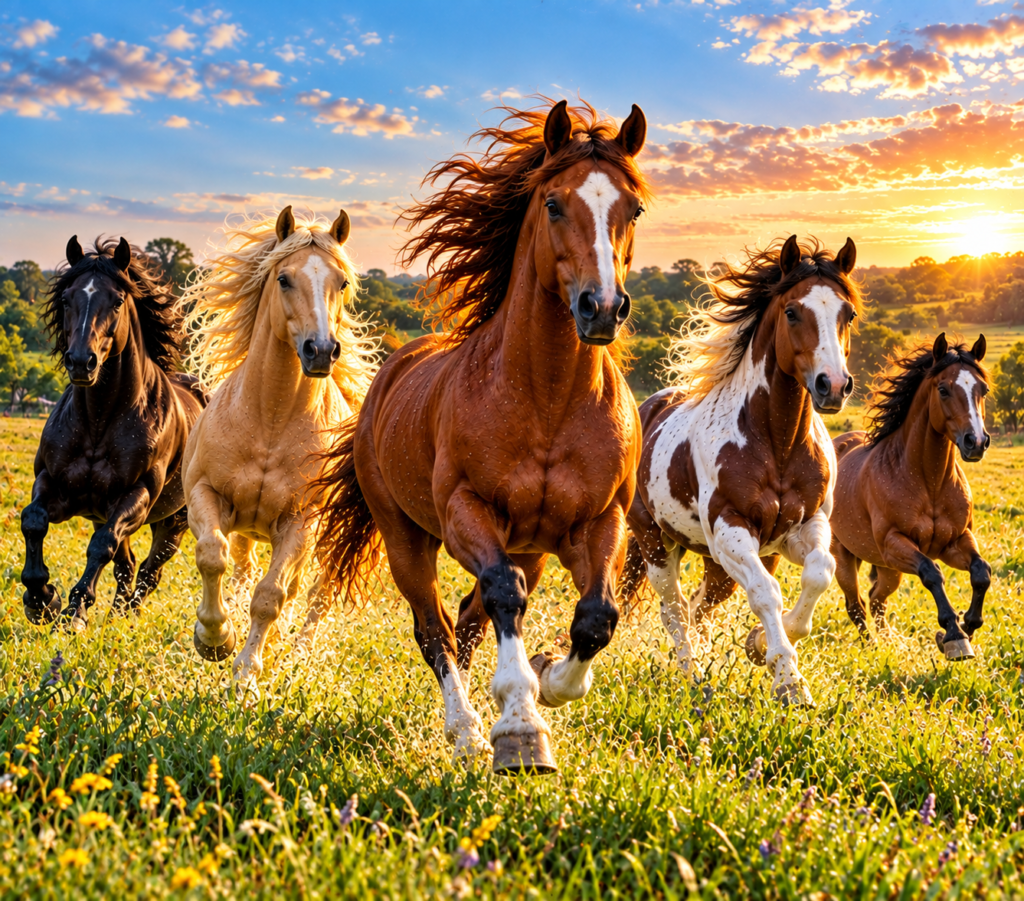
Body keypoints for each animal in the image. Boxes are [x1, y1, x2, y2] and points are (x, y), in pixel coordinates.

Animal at [20, 236, 206, 631]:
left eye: (117, 301)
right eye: (66, 298)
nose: (80, 362)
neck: (99, 421)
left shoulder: (136, 495)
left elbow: (100, 544)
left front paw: (74, 611)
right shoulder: (53, 485)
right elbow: (33, 521)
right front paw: (42, 600)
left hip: (173, 521)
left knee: (149, 571)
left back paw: (128, 615)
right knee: (129, 564)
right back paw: (117, 613)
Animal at [183, 207, 377, 697]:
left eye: (341, 283)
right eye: (284, 279)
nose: (321, 350)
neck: (269, 421)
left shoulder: (301, 523)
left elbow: (270, 598)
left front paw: (246, 675)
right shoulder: (205, 495)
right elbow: (212, 555)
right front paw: (214, 637)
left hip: (332, 542)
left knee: (315, 595)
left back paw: (297, 654)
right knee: (243, 569)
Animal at [311, 99, 649, 774]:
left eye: (633, 209)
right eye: (554, 204)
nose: (601, 308)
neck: (547, 402)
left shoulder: (600, 522)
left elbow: (596, 618)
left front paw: (548, 680)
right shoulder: (466, 511)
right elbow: (501, 596)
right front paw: (521, 730)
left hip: (532, 548)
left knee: (467, 621)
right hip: (406, 540)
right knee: (437, 628)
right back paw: (466, 730)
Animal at [622, 236, 858, 705]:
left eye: (848, 314)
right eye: (792, 312)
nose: (834, 386)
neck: (777, 443)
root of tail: (650, 407)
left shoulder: (801, 529)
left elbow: (819, 573)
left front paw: (758, 644)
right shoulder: (732, 530)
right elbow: (767, 594)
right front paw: (789, 681)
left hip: (714, 562)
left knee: (700, 607)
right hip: (657, 545)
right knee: (675, 610)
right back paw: (693, 675)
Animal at [830, 333, 992, 660]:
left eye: (983, 389)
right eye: (943, 389)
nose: (976, 442)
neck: (929, 484)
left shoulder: (955, 541)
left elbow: (982, 572)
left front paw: (968, 625)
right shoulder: (896, 543)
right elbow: (932, 573)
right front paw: (953, 635)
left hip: (887, 569)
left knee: (876, 599)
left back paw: (888, 644)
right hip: (846, 557)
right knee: (857, 605)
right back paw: (873, 648)